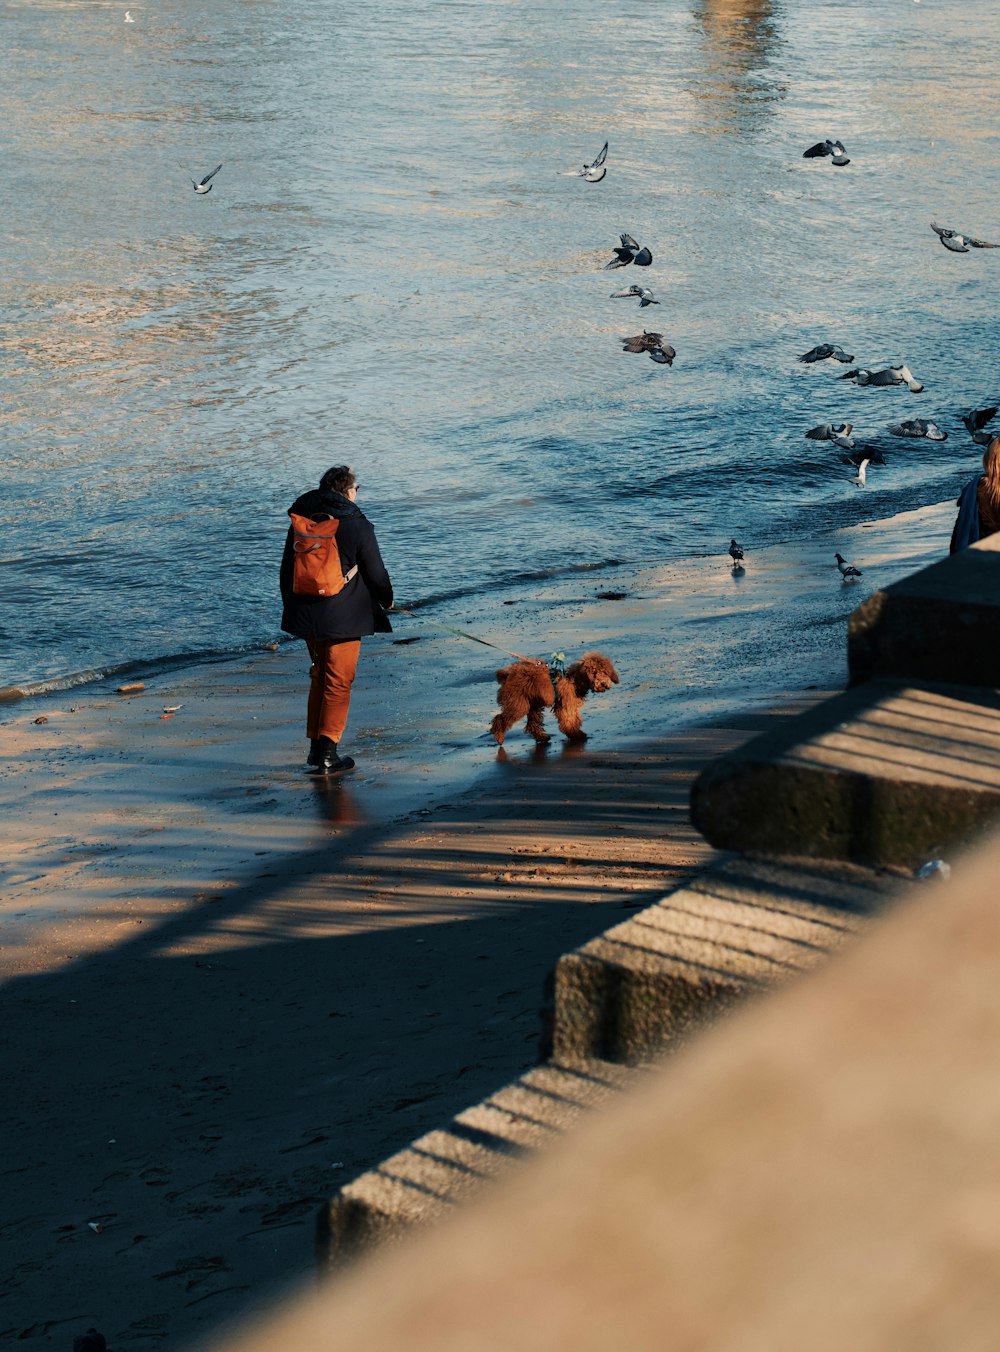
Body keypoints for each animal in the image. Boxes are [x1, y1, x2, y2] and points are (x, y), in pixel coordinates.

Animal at [489, 648, 621, 746]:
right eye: (593, 673)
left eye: (605, 672)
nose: (603, 684)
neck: (574, 680)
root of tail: (507, 675)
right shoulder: (565, 704)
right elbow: (568, 719)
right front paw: (576, 734)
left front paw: (575, 733)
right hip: (518, 703)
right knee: (500, 718)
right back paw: (499, 736)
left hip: (532, 702)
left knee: (532, 723)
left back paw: (542, 737)